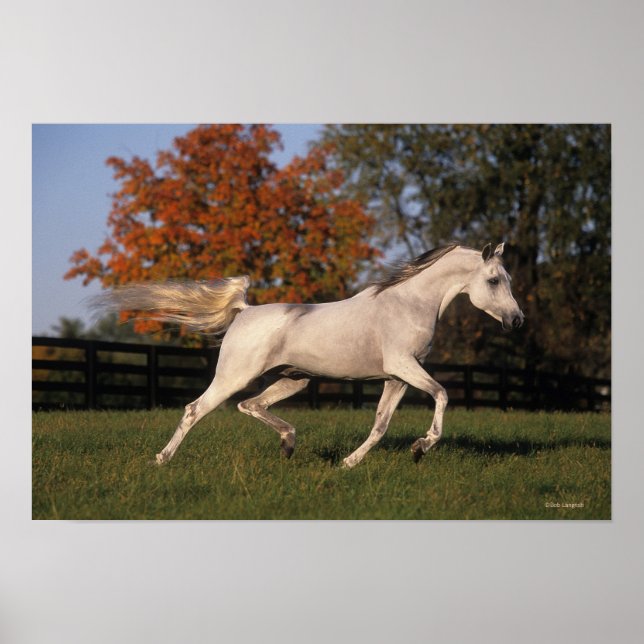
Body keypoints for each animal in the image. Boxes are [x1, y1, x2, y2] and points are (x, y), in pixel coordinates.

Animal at [103, 242, 524, 468]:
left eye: (507, 279)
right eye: (493, 280)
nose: (517, 320)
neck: (408, 303)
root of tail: (244, 311)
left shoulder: (397, 377)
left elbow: (381, 424)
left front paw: (349, 463)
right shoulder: (403, 366)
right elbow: (442, 394)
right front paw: (421, 447)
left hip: (295, 379)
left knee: (250, 406)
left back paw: (289, 444)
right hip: (234, 377)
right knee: (196, 409)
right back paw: (161, 460)